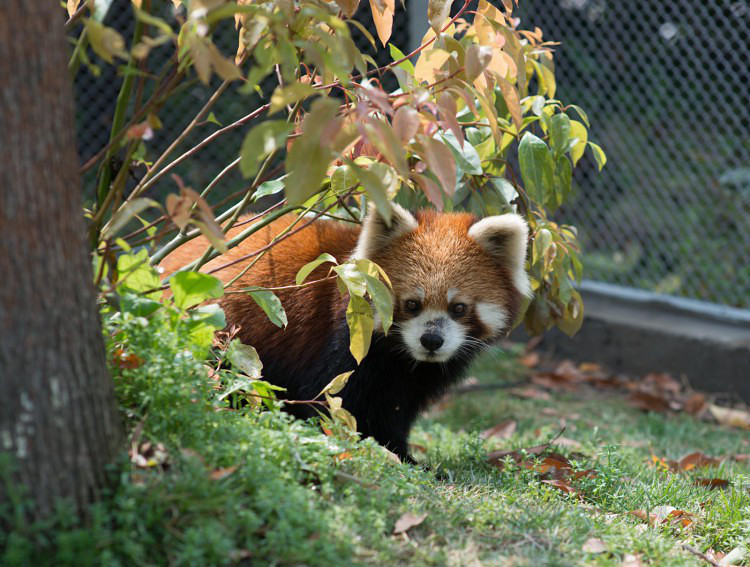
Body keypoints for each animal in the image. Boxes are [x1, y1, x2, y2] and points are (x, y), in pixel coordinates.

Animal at [162, 204, 532, 462]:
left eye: (459, 308)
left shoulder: (412, 377)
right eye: (412, 304)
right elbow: (334, 400)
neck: (400, 358)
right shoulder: (342, 341)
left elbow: (395, 409)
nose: (431, 340)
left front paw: (404, 454)